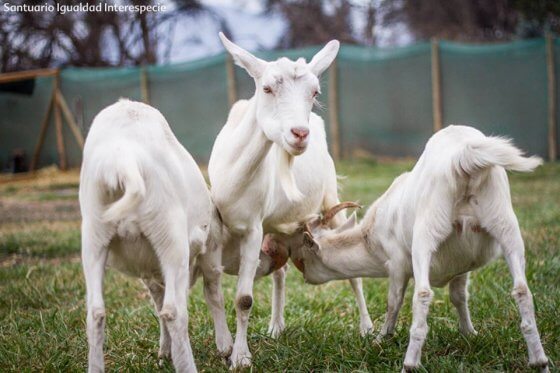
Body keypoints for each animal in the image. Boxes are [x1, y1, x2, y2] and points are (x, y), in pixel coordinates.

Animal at [79, 99, 230, 372]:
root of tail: (124, 159)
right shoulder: (211, 248)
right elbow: (213, 293)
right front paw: (225, 348)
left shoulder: (150, 272)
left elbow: (158, 303)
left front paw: (164, 351)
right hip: (170, 237)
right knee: (174, 311)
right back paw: (188, 365)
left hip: (94, 237)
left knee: (95, 312)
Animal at [208, 32, 374, 366]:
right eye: (267, 88)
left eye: (315, 91)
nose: (299, 133)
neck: (235, 177)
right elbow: (217, 288)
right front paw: (226, 346)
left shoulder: (252, 228)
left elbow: (244, 299)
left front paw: (241, 357)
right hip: (277, 224)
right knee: (280, 271)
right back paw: (276, 326)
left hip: (329, 199)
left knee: (354, 275)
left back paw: (367, 328)